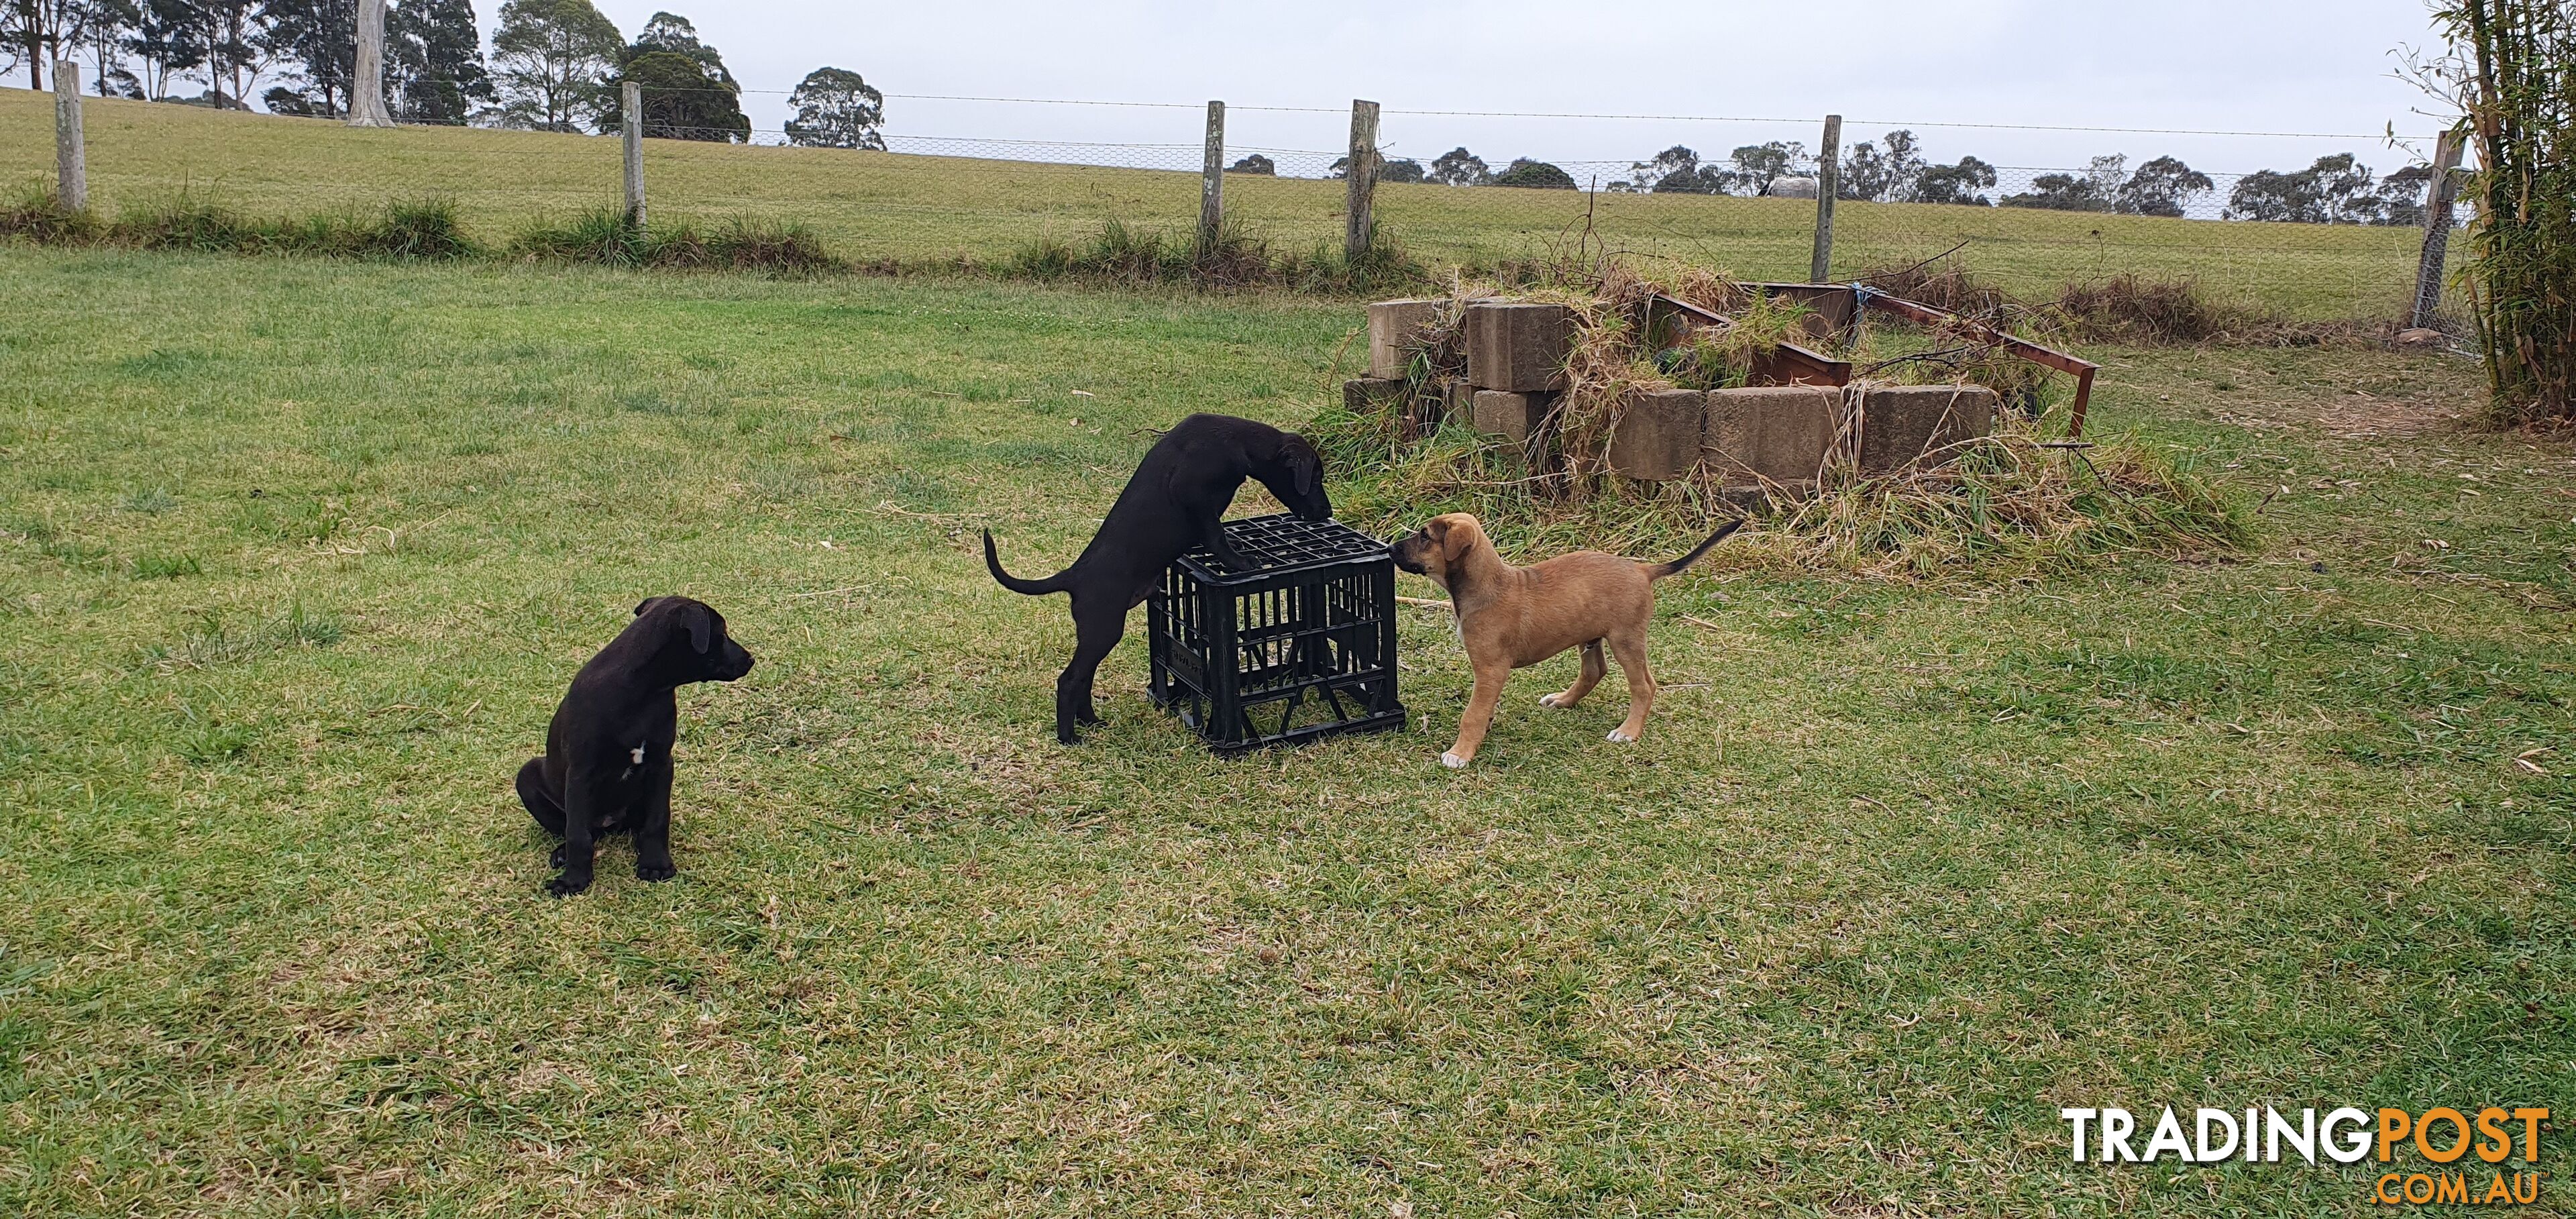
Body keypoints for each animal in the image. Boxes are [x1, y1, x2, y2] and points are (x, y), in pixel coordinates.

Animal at [515, 595, 752, 892]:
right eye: (722, 633)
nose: (751, 658)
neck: (641, 690)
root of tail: (611, 822)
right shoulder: (581, 772)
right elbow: (577, 835)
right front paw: (574, 881)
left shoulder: (662, 764)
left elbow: (658, 820)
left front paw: (655, 864)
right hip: (527, 776)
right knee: (584, 829)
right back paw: (562, 854)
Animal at [979, 409, 1329, 742]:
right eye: (1316, 479)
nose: (1328, 513)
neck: (1237, 441)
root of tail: (1073, 576)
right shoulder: (1194, 495)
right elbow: (1216, 536)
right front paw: (1241, 562)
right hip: (1103, 628)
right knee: (1070, 680)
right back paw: (1069, 737)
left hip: (1096, 634)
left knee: (1084, 678)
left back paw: (1091, 721)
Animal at [1401, 513, 1741, 767]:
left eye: (1424, 536)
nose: (1391, 548)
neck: (1486, 586)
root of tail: (1642, 569)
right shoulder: (1490, 675)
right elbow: (1483, 707)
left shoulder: (1490, 669)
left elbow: (1471, 714)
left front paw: (1460, 753)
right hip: (1590, 637)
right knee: (1594, 672)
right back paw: (1563, 700)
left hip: (1626, 641)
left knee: (1644, 686)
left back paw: (1628, 732)